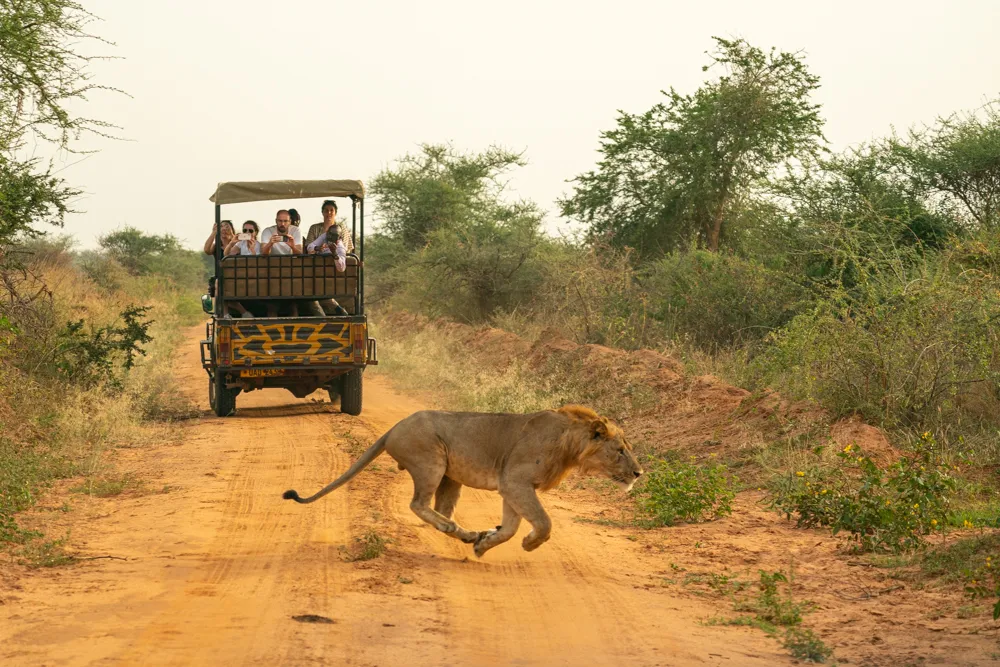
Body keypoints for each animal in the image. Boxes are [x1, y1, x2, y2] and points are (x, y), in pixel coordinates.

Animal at [284, 408, 640, 560]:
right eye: (620, 450)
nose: (639, 474)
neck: (571, 446)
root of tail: (393, 428)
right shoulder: (515, 481)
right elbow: (543, 522)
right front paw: (530, 544)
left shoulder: (512, 487)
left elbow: (510, 527)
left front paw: (486, 544)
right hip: (431, 462)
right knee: (419, 504)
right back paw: (459, 530)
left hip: (449, 477)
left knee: (439, 507)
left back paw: (469, 535)